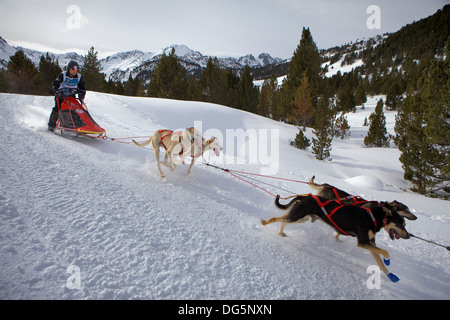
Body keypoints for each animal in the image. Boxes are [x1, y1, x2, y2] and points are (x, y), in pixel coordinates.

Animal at [262, 192, 414, 282]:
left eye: (405, 224)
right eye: (401, 224)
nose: (409, 236)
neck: (372, 216)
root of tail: (305, 196)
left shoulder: (369, 243)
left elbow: (379, 261)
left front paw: (390, 274)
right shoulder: (362, 242)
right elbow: (385, 252)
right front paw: (388, 260)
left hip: (301, 218)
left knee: (283, 220)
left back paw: (281, 232)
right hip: (297, 216)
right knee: (278, 218)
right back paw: (264, 223)